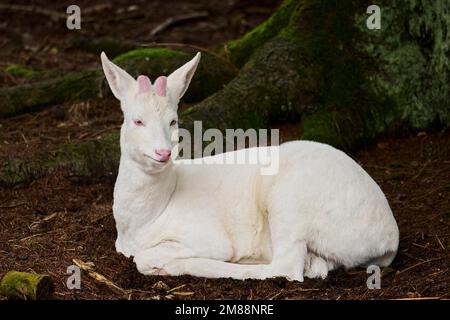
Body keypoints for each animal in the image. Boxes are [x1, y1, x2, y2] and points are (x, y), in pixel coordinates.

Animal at [100, 52, 400, 280]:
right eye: (137, 120)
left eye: (173, 121)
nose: (162, 152)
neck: (144, 222)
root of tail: (389, 239)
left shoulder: (206, 236)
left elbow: (142, 258)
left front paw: (163, 264)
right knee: (317, 266)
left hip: (291, 201)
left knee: (286, 267)